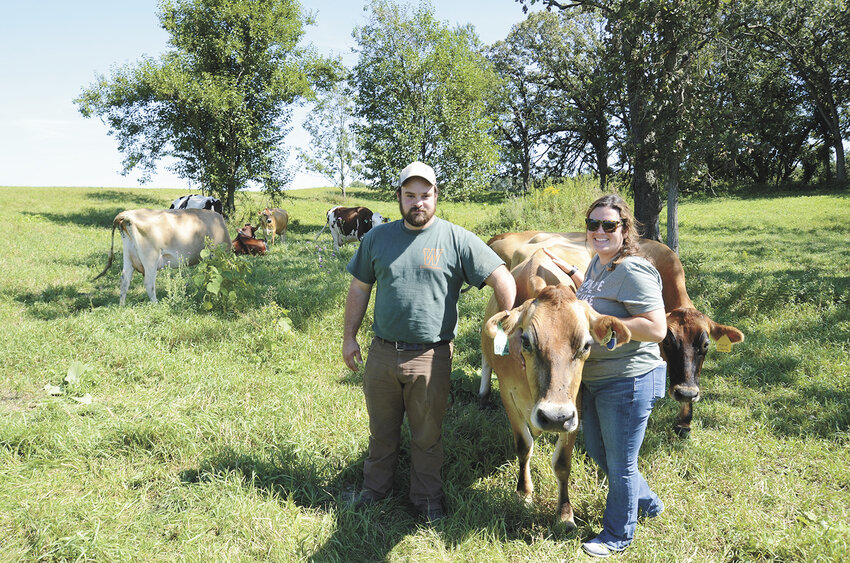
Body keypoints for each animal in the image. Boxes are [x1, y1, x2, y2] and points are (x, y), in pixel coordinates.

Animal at [93, 208, 229, 306]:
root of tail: (127, 215)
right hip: (150, 258)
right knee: (149, 283)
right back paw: (156, 304)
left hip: (128, 257)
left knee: (124, 280)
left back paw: (122, 305)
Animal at [476, 249, 628, 528]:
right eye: (525, 340)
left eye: (586, 345)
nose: (554, 417)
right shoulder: (508, 395)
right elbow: (524, 446)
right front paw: (523, 493)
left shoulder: (574, 405)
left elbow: (562, 463)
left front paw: (565, 513)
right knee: (485, 358)